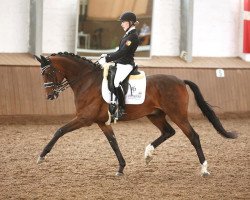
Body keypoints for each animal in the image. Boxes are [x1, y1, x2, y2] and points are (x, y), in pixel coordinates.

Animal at [34, 52, 236, 177]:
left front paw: (42, 156)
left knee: (193, 136)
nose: (50, 96)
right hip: (155, 115)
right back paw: (148, 154)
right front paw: (121, 168)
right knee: (168, 132)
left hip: (177, 114)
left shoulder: (85, 119)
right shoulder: (103, 122)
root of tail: (180, 80)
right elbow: (113, 143)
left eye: (49, 72)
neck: (87, 81)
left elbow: (59, 131)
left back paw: (204, 169)